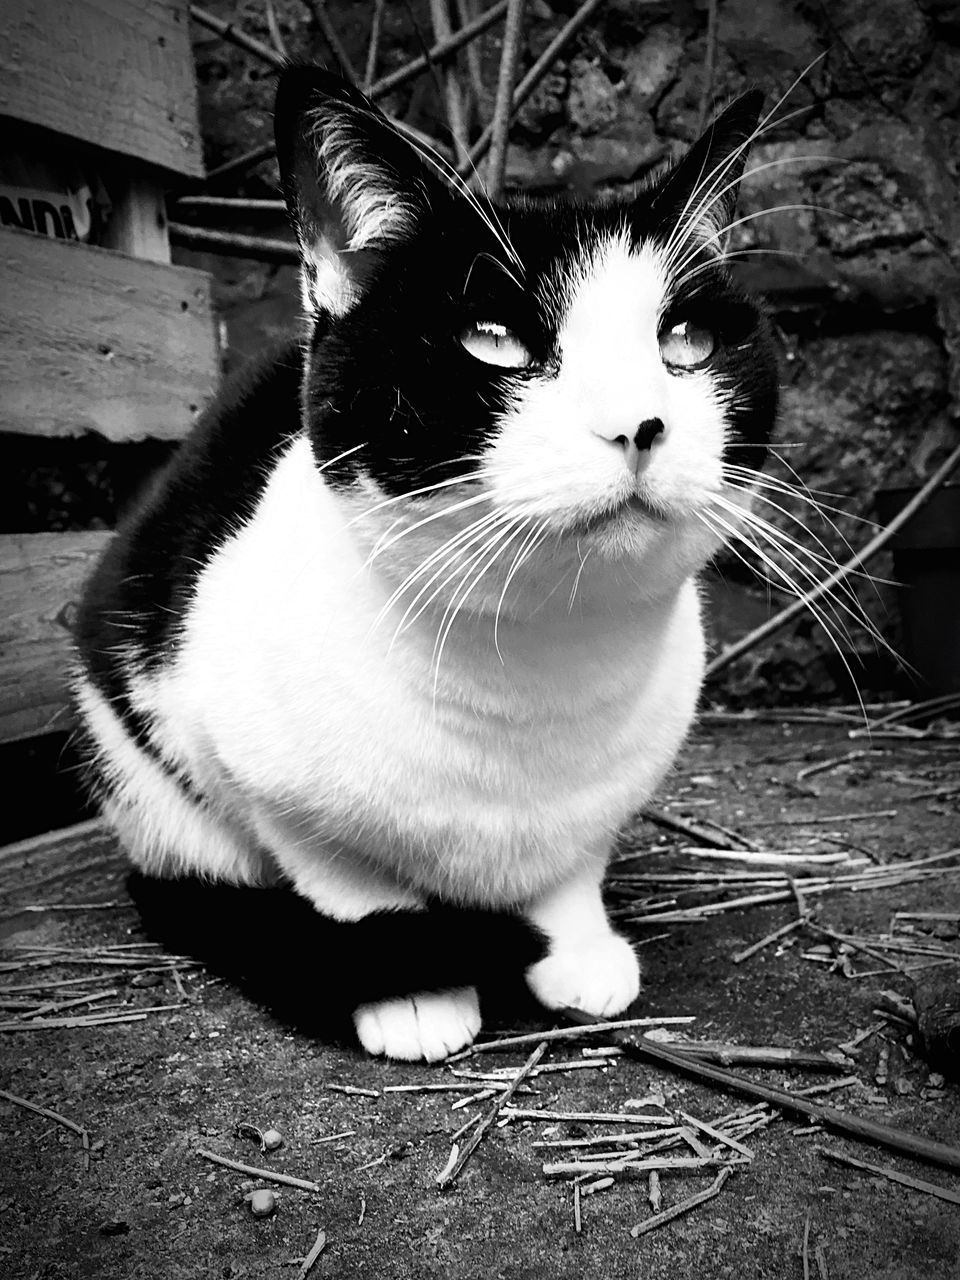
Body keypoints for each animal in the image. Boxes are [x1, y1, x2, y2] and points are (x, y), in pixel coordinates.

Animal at [75, 70, 783, 1064]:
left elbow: (573, 863)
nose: (637, 424)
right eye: (492, 340)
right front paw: (417, 990)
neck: (534, 673)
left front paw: (578, 950)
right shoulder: (249, 766)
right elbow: (349, 882)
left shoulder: (602, 799)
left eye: (686, 343)